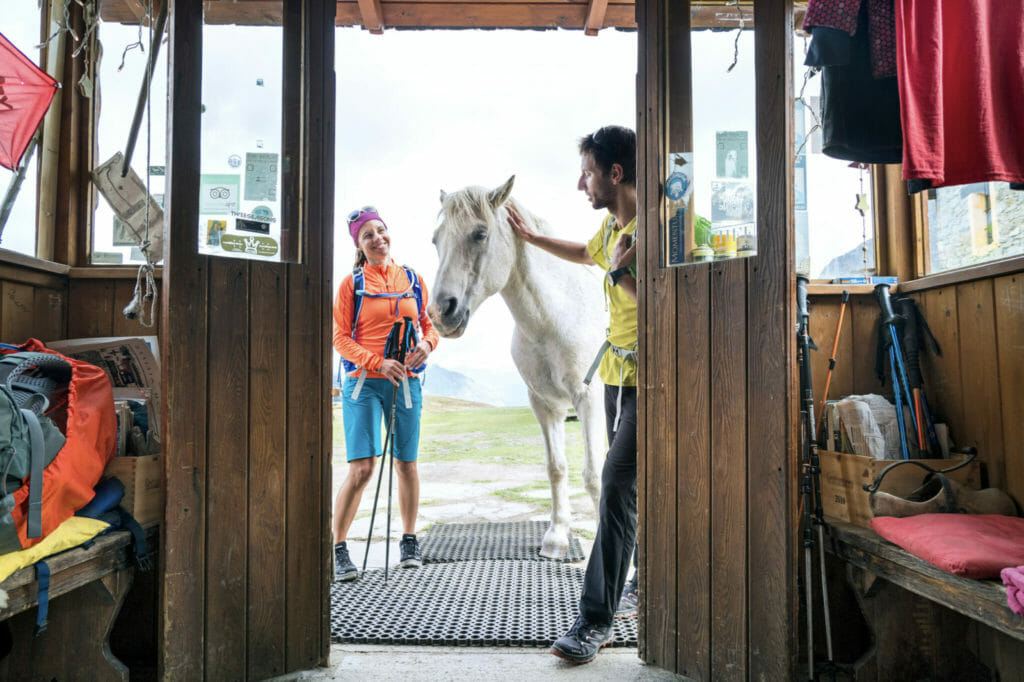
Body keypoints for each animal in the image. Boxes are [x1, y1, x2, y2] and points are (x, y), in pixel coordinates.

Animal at [427, 175, 606, 559]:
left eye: (480, 234)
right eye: (436, 240)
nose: (440, 312)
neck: (552, 320)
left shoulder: (588, 399)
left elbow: (594, 475)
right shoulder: (545, 405)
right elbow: (557, 468)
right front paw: (557, 536)